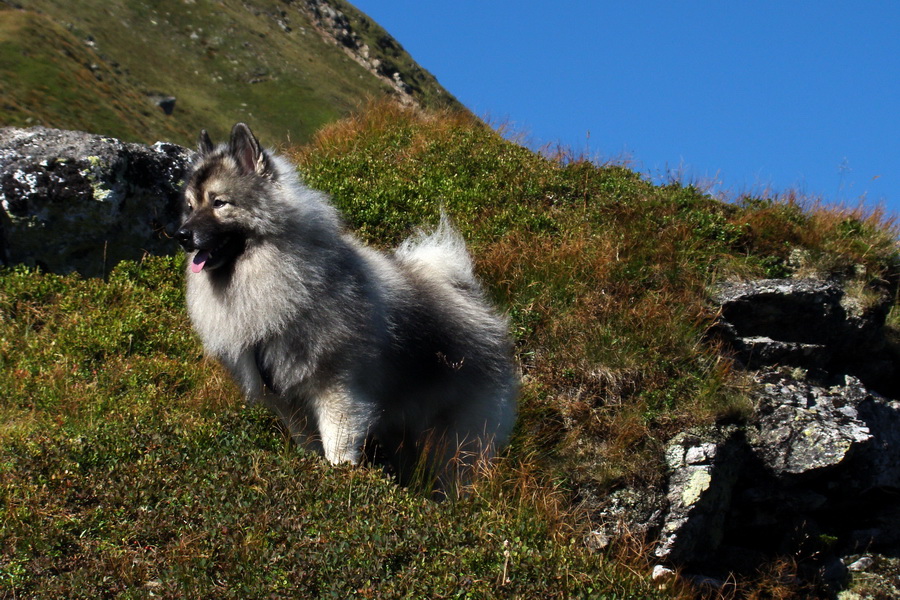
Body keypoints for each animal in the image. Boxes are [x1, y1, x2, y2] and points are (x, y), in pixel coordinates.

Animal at [175, 123, 516, 488]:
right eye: (190, 206)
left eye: (219, 203)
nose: (180, 235)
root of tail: (478, 305)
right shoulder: (289, 401)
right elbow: (309, 445)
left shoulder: (339, 392)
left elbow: (337, 446)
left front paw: (339, 478)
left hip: (460, 440)